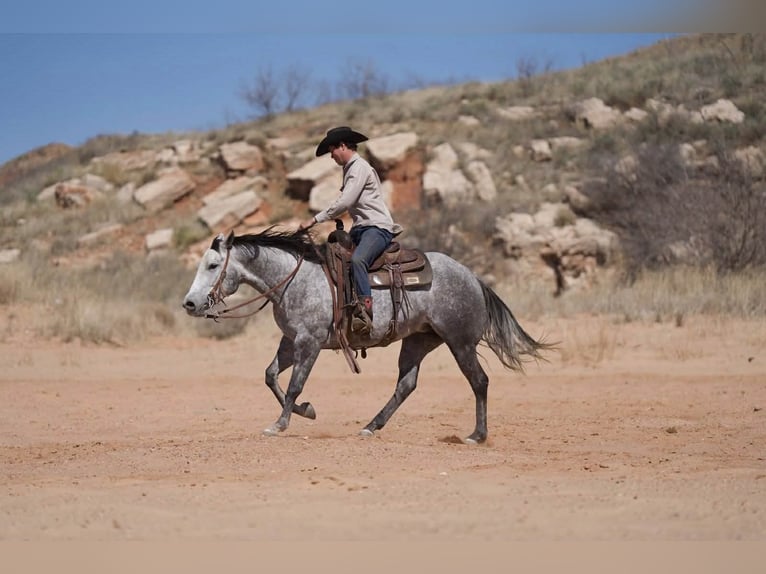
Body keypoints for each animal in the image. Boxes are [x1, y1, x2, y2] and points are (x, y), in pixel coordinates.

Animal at [182, 227, 551, 444]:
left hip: (460, 342)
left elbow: (294, 384)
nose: (190, 303)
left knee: (479, 381)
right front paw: (306, 411)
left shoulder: (309, 343)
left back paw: (477, 435)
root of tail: (473, 277)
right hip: (418, 341)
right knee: (406, 385)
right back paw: (371, 426)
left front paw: (282, 423)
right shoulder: (291, 342)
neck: (294, 280)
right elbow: (271, 376)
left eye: (213, 265)